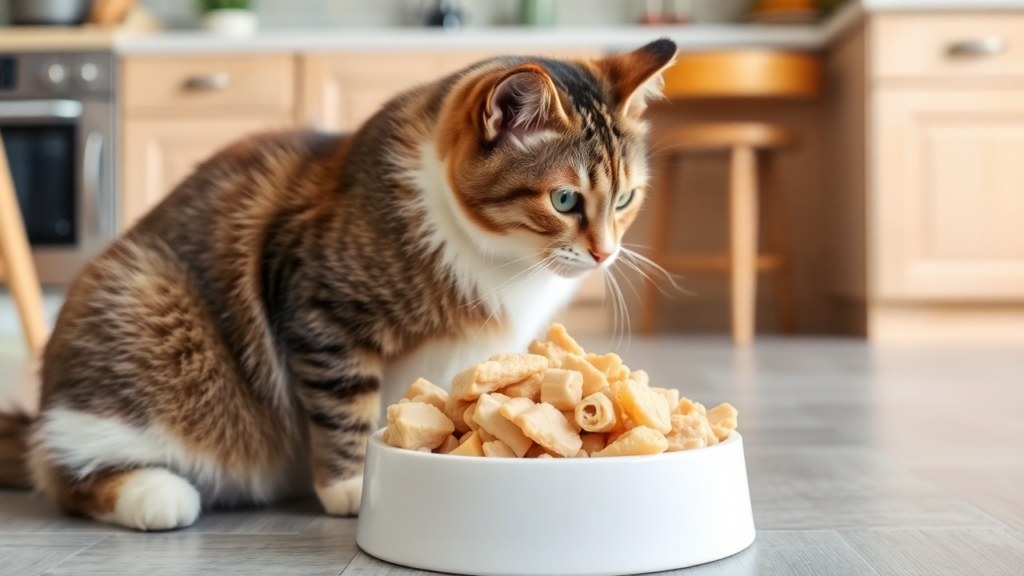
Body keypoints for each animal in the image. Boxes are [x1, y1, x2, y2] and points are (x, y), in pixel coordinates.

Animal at [2, 36, 679, 528]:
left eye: (625, 199)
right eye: (564, 199)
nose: (605, 254)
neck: (499, 257)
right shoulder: (320, 309)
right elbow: (344, 408)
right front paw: (352, 486)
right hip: (147, 306)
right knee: (64, 471)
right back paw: (153, 493)